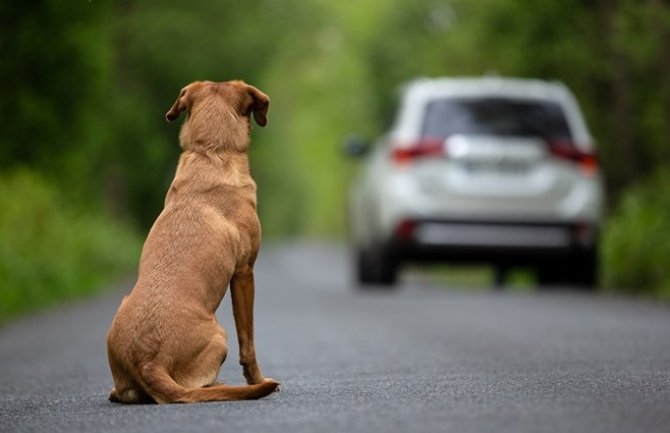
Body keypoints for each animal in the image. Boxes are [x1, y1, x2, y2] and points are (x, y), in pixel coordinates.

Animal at [106, 80, 280, 402]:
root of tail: (148, 362)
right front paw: (257, 379)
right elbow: (248, 341)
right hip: (220, 335)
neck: (211, 152)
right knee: (199, 385)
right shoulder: (244, 272)